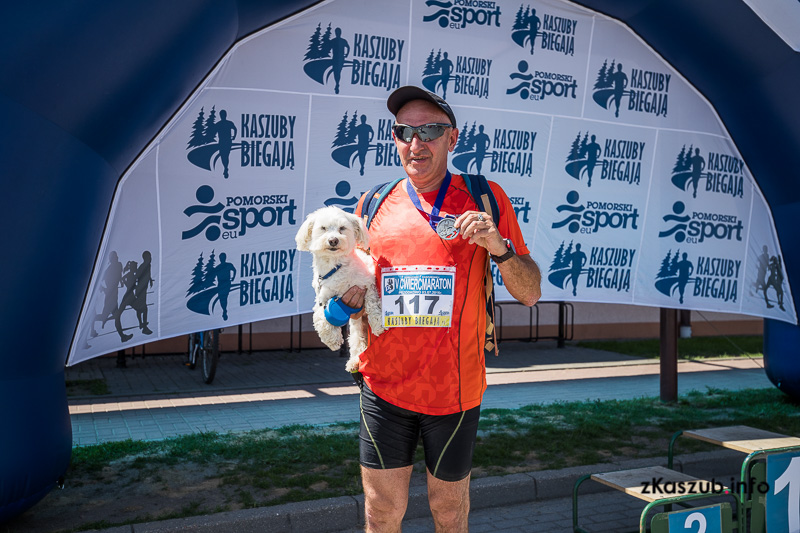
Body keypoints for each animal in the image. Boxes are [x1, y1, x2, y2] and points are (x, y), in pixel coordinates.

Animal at [295, 206, 385, 372]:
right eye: (323, 228)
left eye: (342, 228)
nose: (333, 240)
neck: (336, 267)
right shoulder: (322, 296)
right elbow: (319, 318)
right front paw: (332, 340)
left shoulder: (367, 284)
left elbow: (373, 304)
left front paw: (378, 324)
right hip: (356, 325)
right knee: (357, 341)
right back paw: (354, 361)